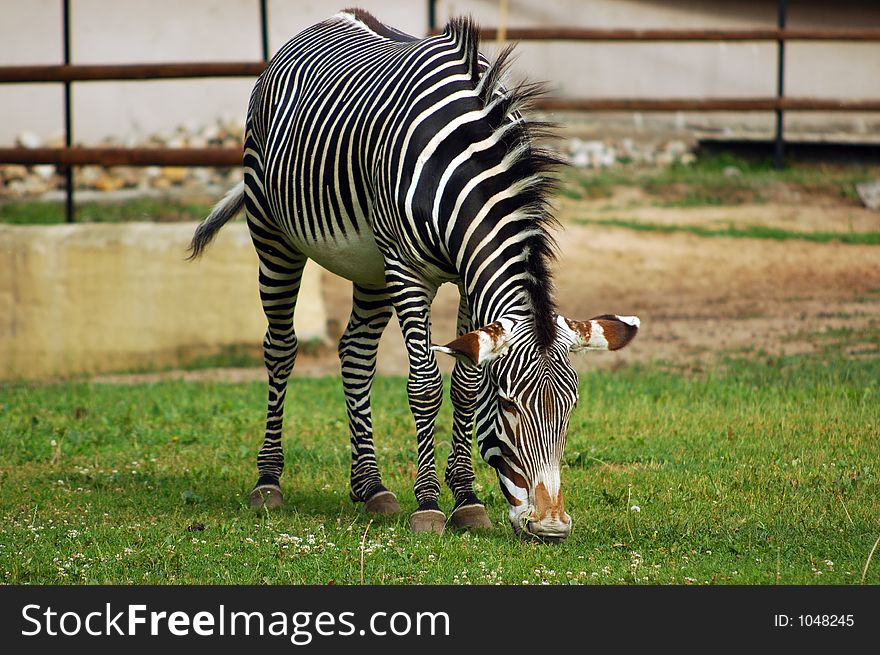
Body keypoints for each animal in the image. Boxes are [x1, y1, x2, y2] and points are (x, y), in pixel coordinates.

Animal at [189, 10, 636, 540]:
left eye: (569, 409)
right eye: (509, 406)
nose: (551, 527)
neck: (466, 170)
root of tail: (335, 16)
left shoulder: (465, 277)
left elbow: (464, 384)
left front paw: (466, 499)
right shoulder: (407, 270)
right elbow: (424, 386)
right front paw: (429, 506)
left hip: (368, 264)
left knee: (355, 354)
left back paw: (372, 488)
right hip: (272, 232)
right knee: (280, 349)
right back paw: (268, 481)